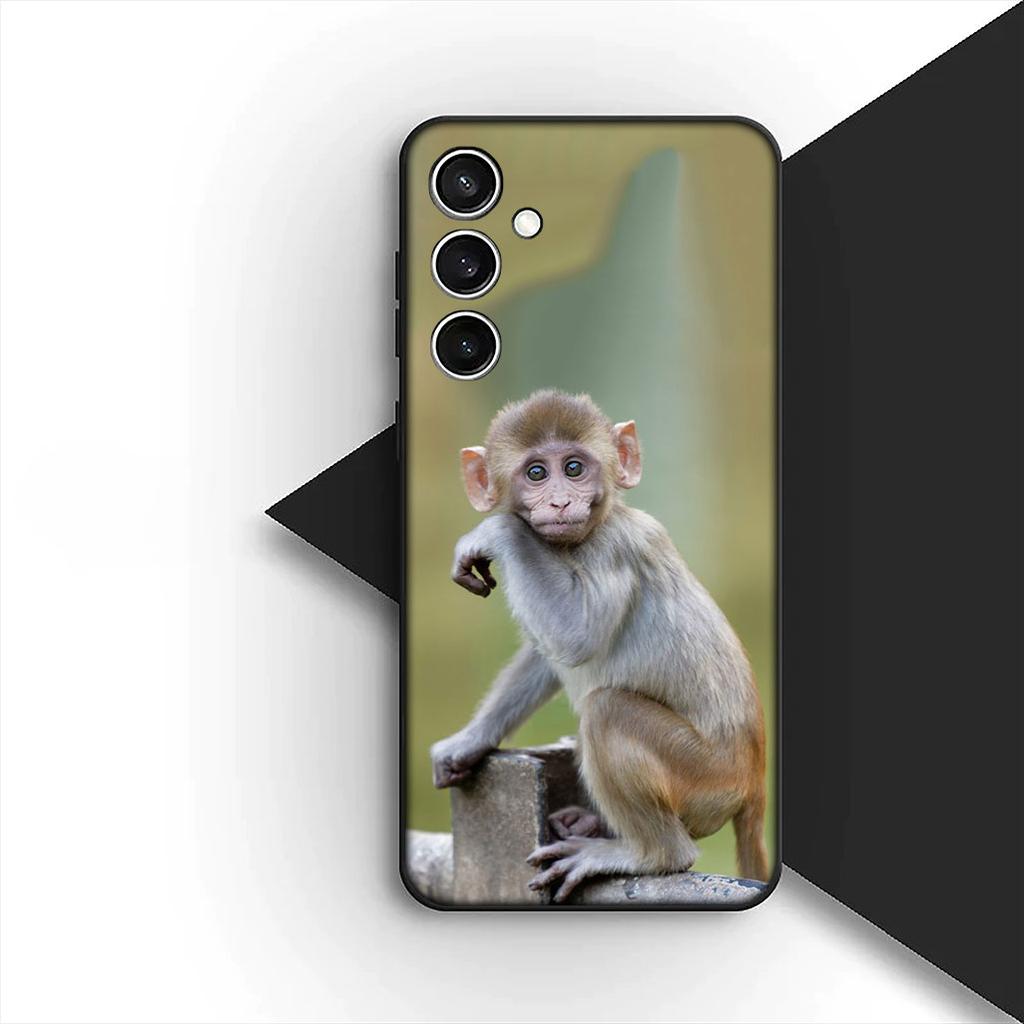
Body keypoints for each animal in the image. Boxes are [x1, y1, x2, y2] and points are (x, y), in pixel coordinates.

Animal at [430, 389, 770, 902]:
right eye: (536, 473)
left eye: (573, 468)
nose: (560, 501)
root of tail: (752, 780)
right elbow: (548, 654)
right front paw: (469, 742)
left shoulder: (614, 548)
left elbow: (577, 636)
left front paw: (500, 532)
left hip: (706, 780)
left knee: (609, 710)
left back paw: (648, 854)